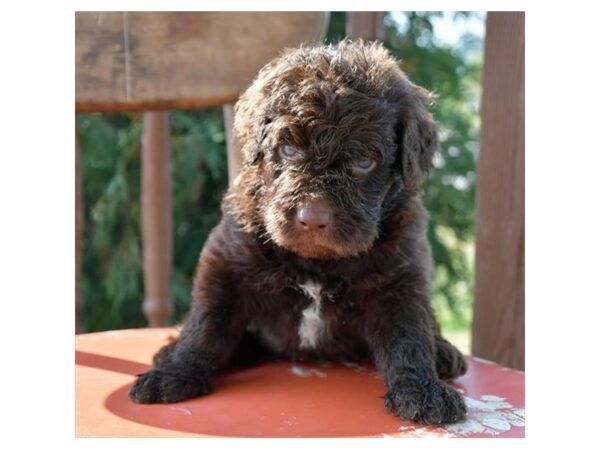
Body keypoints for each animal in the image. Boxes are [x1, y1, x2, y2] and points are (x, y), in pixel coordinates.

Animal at [130, 39, 468, 426]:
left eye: (364, 162)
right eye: (289, 149)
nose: (313, 218)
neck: (317, 263)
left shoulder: (402, 277)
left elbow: (409, 336)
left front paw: (423, 390)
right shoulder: (226, 264)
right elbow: (205, 326)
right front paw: (174, 373)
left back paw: (443, 353)